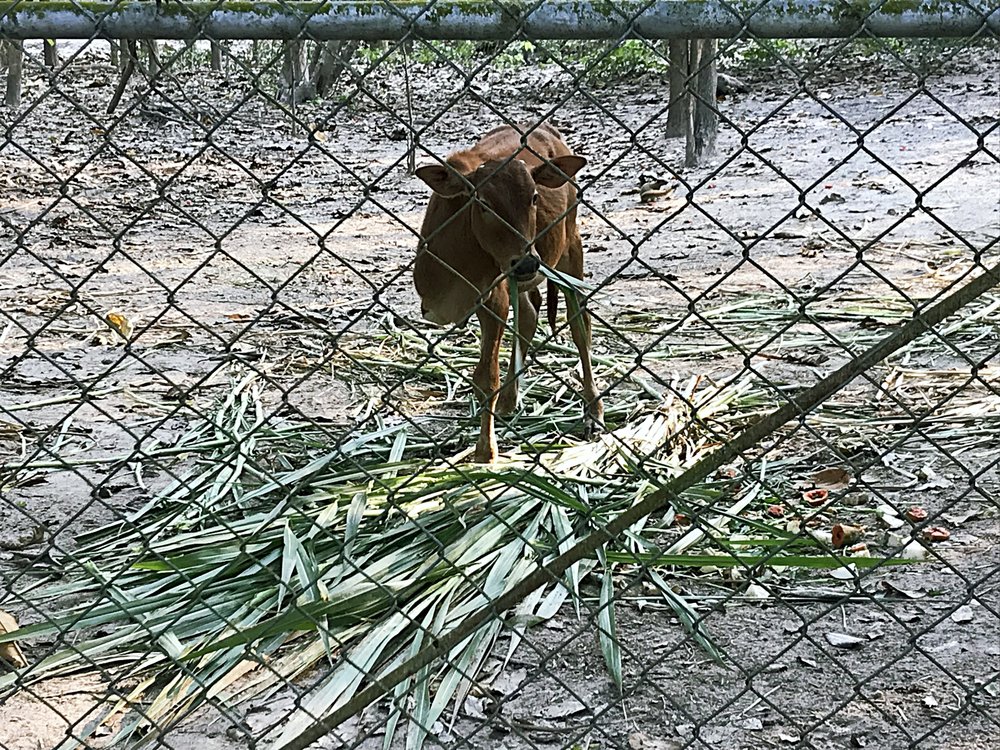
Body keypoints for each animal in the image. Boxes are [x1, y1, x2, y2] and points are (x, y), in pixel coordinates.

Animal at [412, 125, 600, 464]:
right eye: (484, 203)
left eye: (535, 197)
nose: (527, 262)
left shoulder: (493, 296)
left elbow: (486, 377)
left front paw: (485, 451)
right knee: (529, 315)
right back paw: (510, 401)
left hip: (570, 247)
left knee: (581, 326)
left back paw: (594, 412)